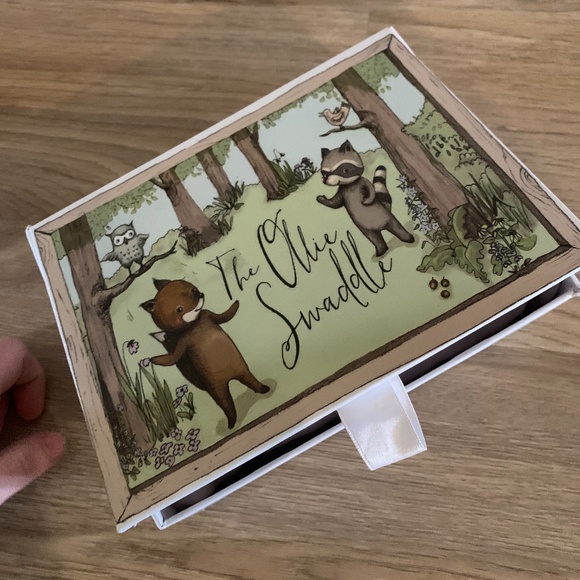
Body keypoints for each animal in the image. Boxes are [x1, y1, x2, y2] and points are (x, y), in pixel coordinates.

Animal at [140, 279, 269, 429]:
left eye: (193, 289)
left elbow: (225, 315)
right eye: (179, 309)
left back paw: (262, 389)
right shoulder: (183, 341)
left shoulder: (208, 315)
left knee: (249, 381)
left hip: (242, 371)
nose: (199, 295)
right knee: (226, 404)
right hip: (217, 388)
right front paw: (154, 360)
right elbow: (173, 357)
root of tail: (229, 378)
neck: (195, 324)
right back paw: (232, 422)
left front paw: (235, 304)